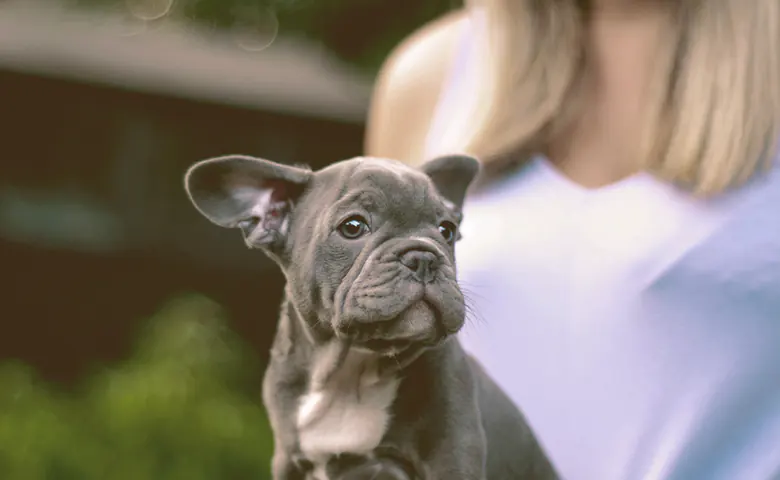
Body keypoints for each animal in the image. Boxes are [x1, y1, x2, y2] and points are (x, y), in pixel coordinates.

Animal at [184, 154, 556, 480]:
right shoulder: (289, 462)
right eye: (353, 226)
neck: (351, 371)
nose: (423, 256)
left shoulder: (451, 455)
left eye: (447, 230)